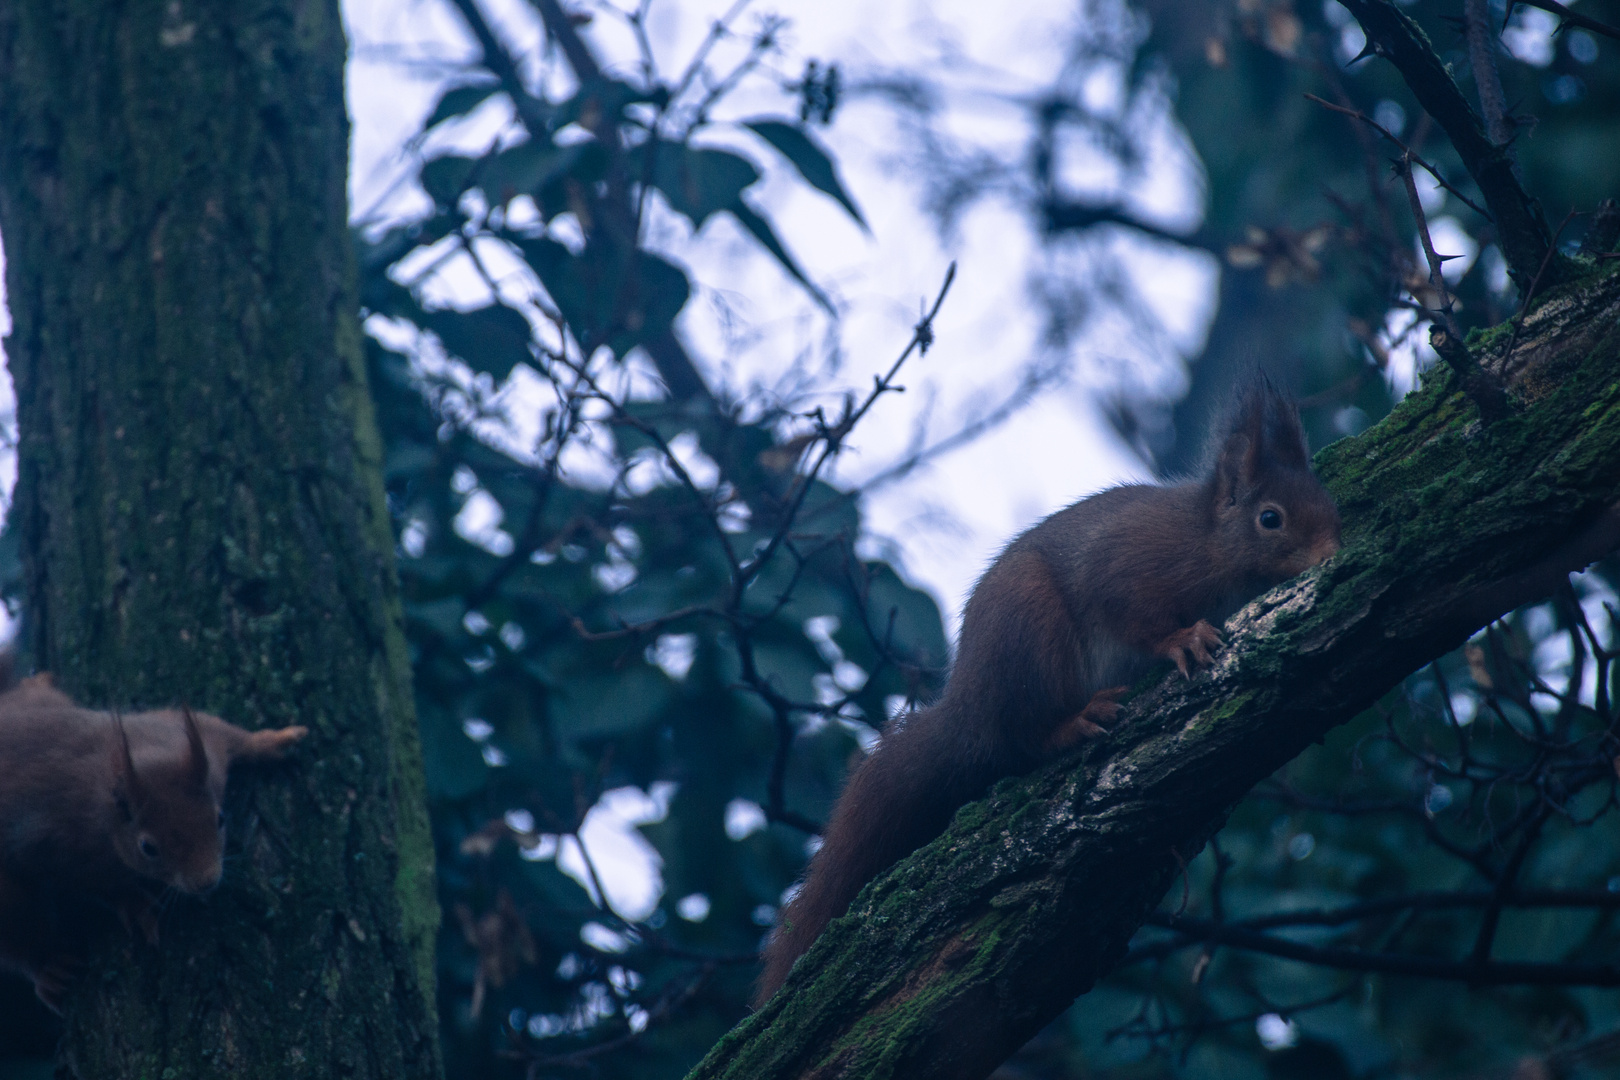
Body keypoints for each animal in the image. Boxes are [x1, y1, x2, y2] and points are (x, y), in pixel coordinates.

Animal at [0, 670, 306, 1010]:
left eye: (221, 818)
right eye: (148, 848)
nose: (207, 881)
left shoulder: (191, 742)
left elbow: (224, 731)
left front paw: (276, 740)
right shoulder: (55, 845)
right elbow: (94, 882)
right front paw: (135, 902)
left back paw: (38, 682)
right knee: (19, 933)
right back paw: (49, 968)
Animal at [758, 378, 1341, 1003]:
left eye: (1328, 504)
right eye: (1270, 518)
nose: (1332, 553)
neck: (1209, 543)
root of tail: (969, 710)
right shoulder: (1132, 563)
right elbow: (1132, 612)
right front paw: (1182, 639)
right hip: (1032, 635)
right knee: (1026, 737)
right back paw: (1076, 721)